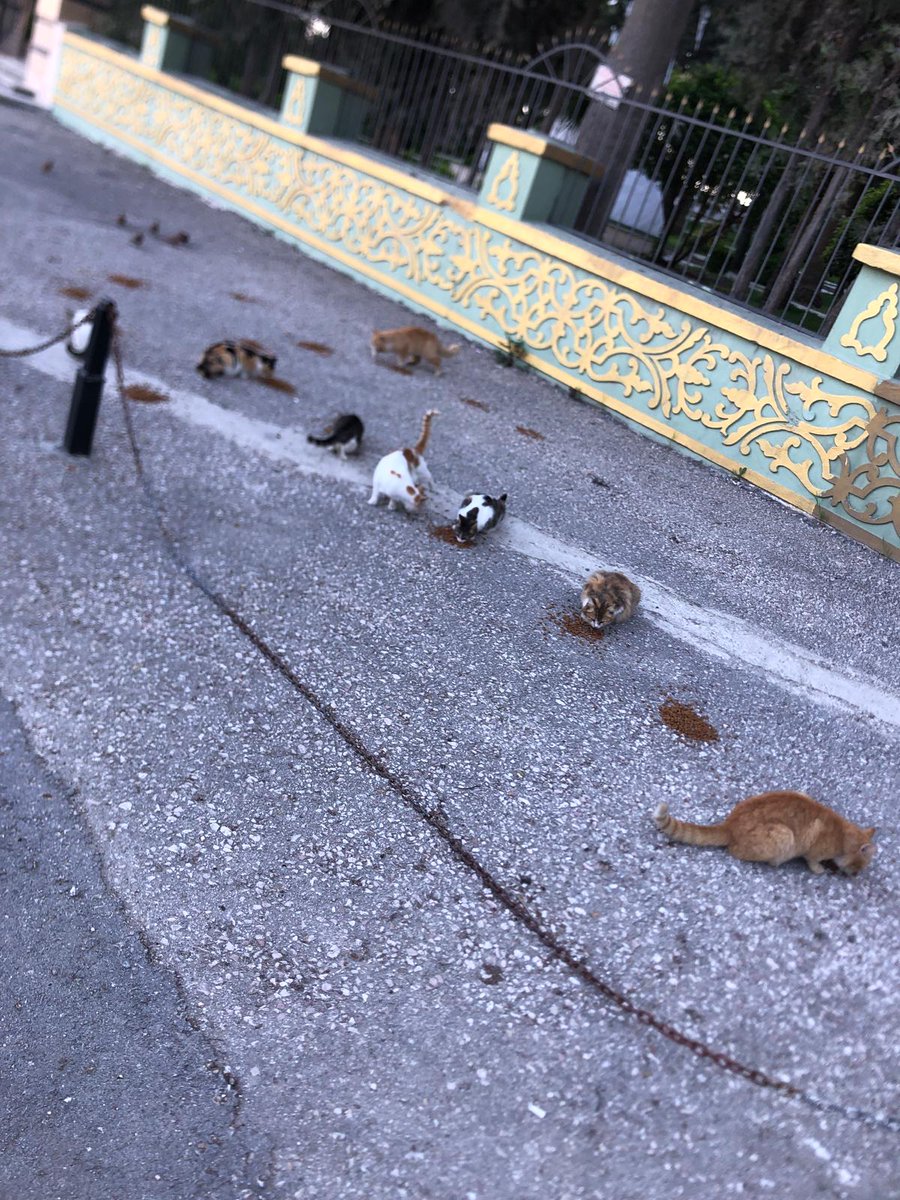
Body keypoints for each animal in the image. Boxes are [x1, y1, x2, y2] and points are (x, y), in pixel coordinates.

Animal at [657, 792, 883, 878]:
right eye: (860, 865)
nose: (856, 875)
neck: (843, 835)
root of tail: (730, 824)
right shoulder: (814, 851)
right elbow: (812, 861)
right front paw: (820, 869)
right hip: (784, 835)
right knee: (735, 851)